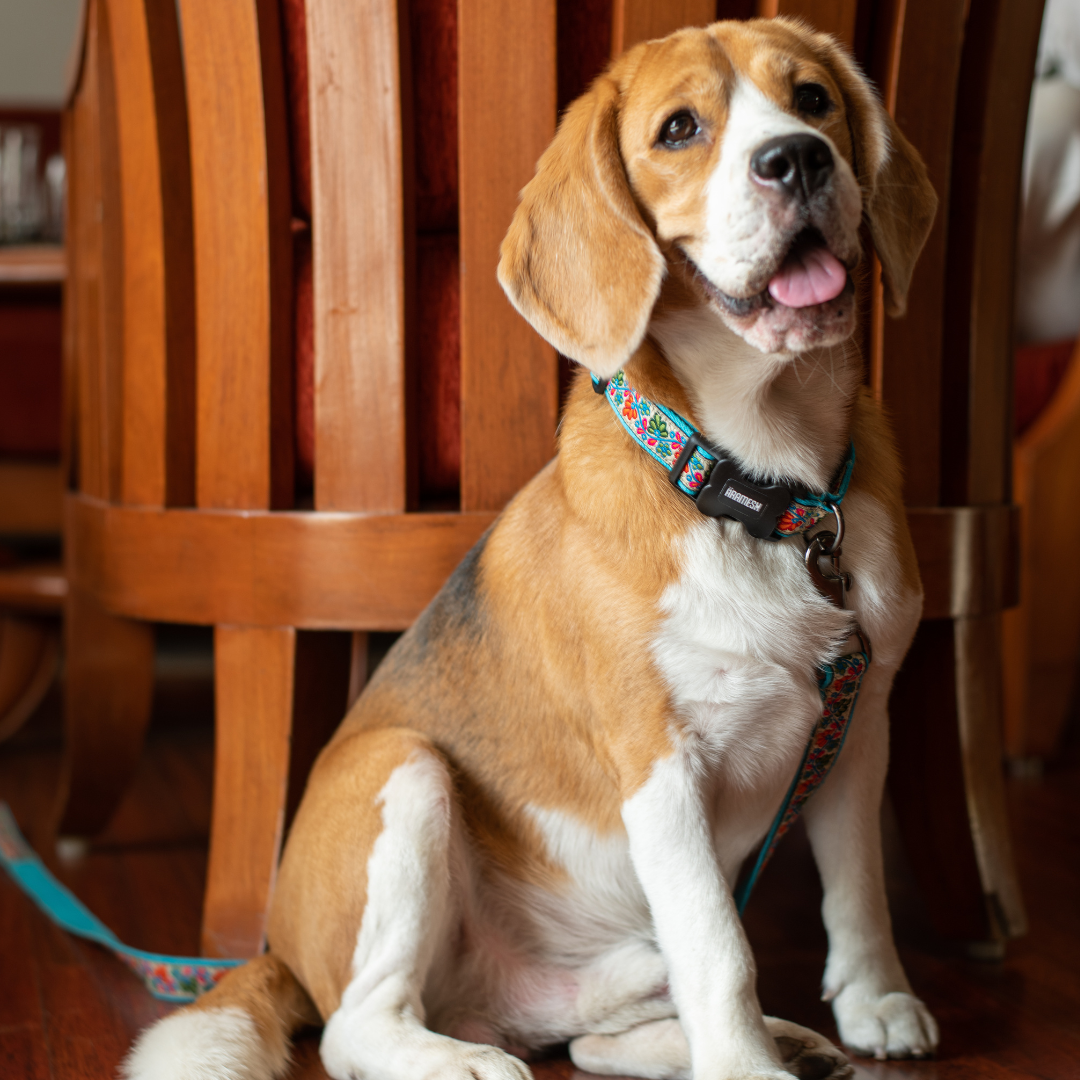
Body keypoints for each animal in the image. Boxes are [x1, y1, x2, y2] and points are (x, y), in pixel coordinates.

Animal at [124, 16, 937, 1080]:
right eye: (680, 129)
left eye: (814, 100)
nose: (797, 158)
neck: (764, 493)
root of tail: (282, 953)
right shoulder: (660, 769)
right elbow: (722, 951)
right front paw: (746, 1067)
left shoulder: (856, 723)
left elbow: (861, 892)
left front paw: (875, 1002)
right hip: (405, 775)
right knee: (357, 1027)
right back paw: (465, 1060)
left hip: (601, 949)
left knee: (589, 1039)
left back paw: (760, 1033)